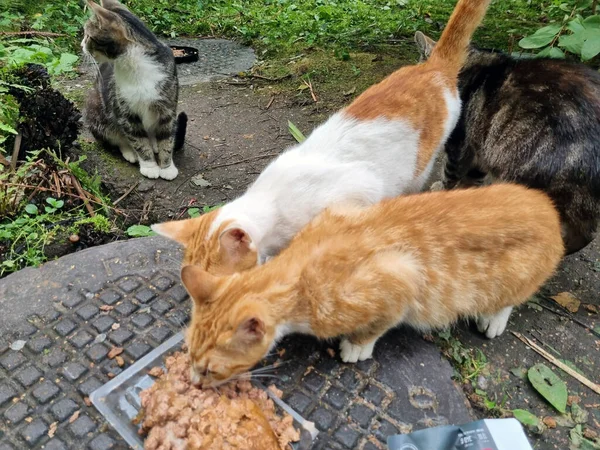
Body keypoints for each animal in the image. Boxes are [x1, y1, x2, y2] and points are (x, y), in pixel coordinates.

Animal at [82, 0, 185, 179]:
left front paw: (166, 167)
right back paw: (130, 152)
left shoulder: (167, 107)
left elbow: (167, 138)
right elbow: (137, 139)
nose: (81, 45)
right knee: (116, 137)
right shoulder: (125, 111)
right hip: (96, 111)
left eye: (88, 36)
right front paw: (150, 166)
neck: (133, 64)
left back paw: (154, 143)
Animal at [178, 185, 564, 388]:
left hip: (511, 279)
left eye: (210, 369)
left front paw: (356, 346)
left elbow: (379, 323)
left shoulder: (401, 277)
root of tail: (548, 207)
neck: (296, 272)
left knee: (510, 299)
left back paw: (493, 318)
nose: (194, 383)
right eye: (189, 356)